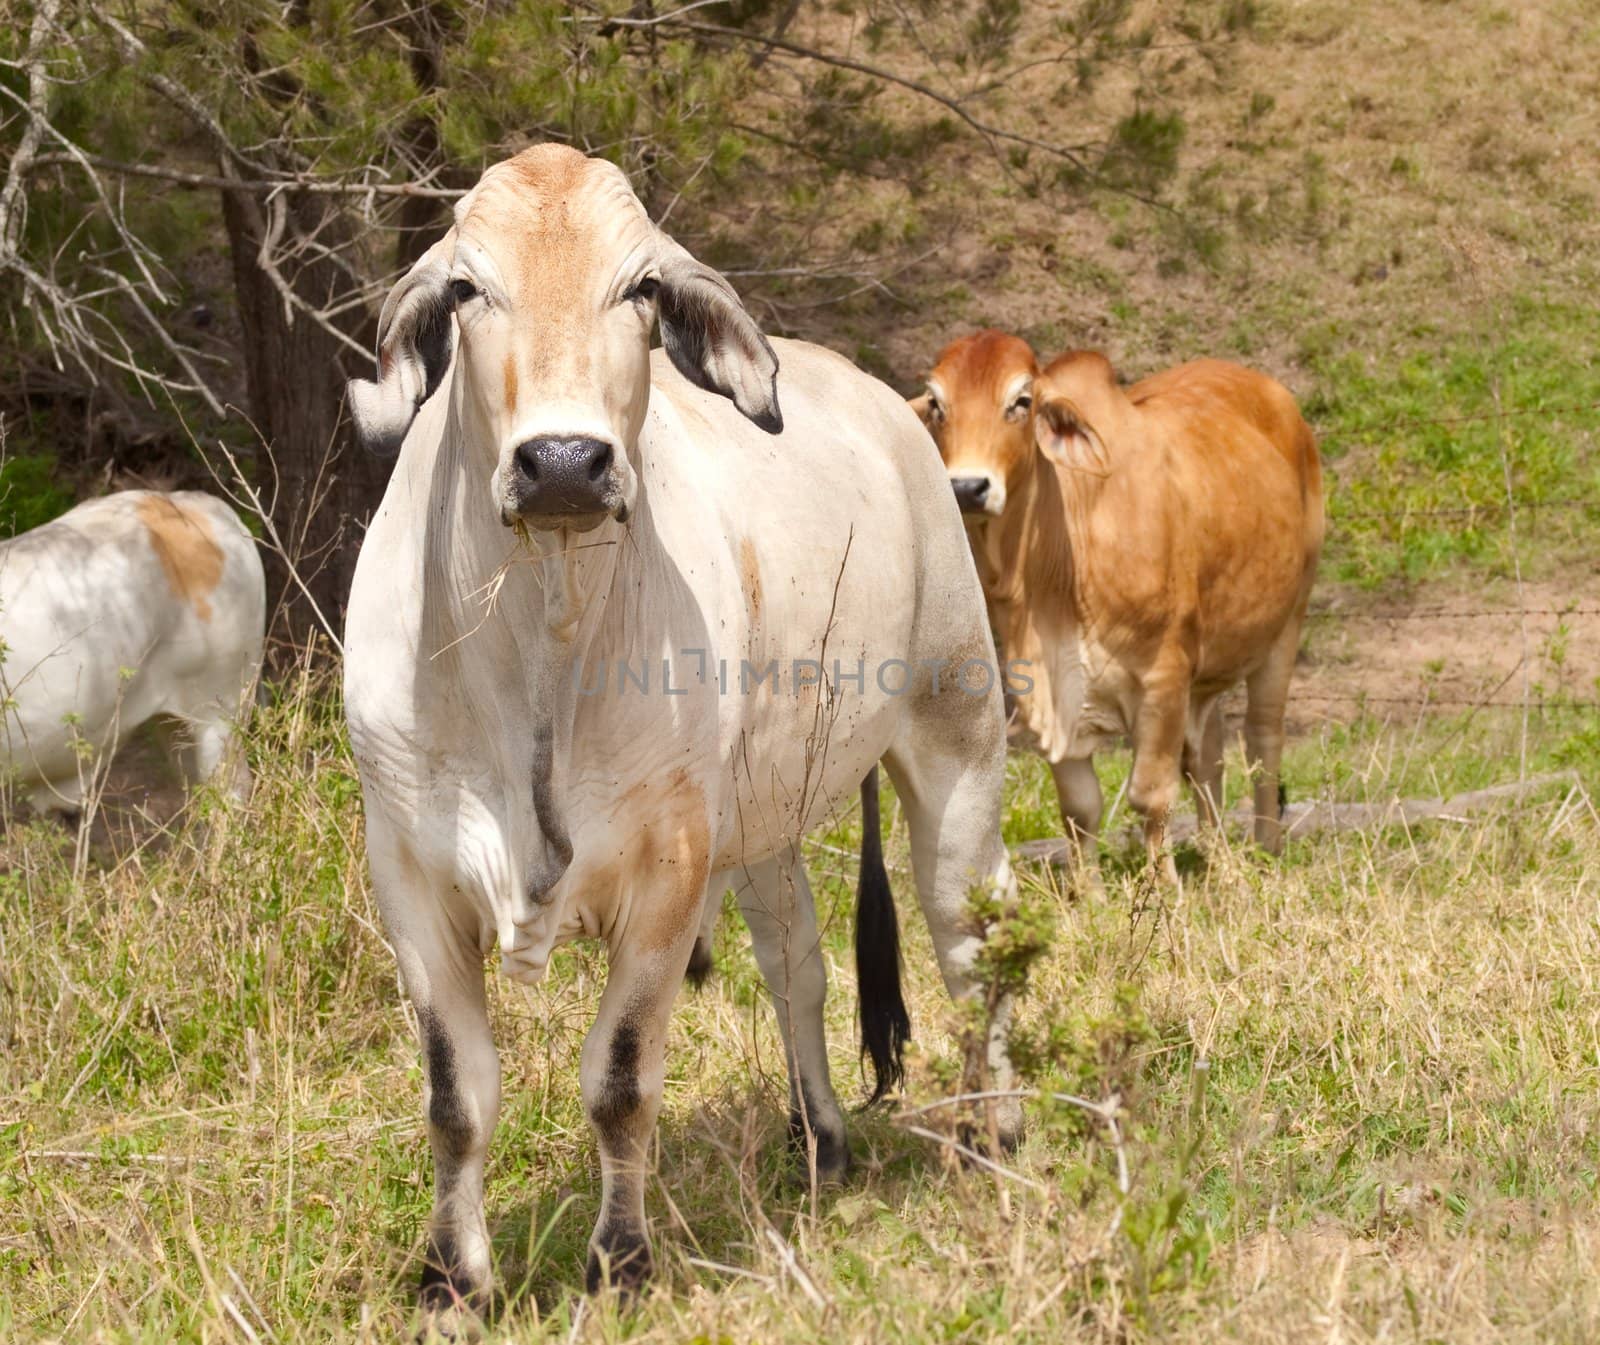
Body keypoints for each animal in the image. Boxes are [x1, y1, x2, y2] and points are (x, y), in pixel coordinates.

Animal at [915, 332, 1324, 882]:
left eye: (1021, 401)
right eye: (937, 403)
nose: (967, 487)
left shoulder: (1163, 679)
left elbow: (1150, 796)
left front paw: (1163, 889)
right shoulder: (1047, 694)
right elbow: (1080, 808)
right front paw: (1089, 895)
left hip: (1287, 625)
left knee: (1262, 740)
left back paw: (1267, 848)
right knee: (1208, 755)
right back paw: (1218, 860)